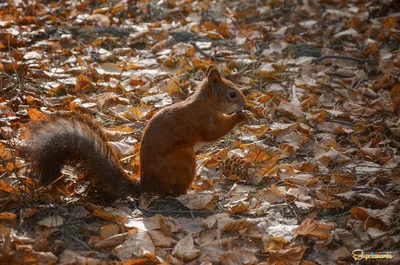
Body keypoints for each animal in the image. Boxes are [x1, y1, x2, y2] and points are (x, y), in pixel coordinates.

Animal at [20, 65, 253, 201]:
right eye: (232, 94)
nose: (245, 103)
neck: (207, 101)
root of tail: (146, 184)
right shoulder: (203, 118)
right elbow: (215, 132)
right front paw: (242, 117)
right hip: (183, 159)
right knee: (176, 191)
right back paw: (195, 191)